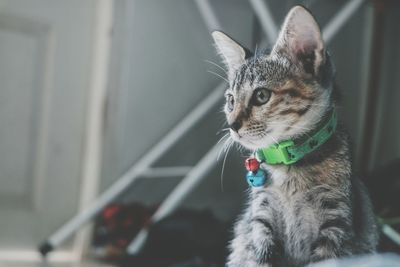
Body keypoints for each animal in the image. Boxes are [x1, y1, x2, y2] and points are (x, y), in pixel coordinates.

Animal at [212, 4, 378, 267]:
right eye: (230, 100)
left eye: (261, 96)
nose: (232, 125)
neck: (288, 165)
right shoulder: (261, 218)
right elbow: (259, 257)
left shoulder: (336, 220)